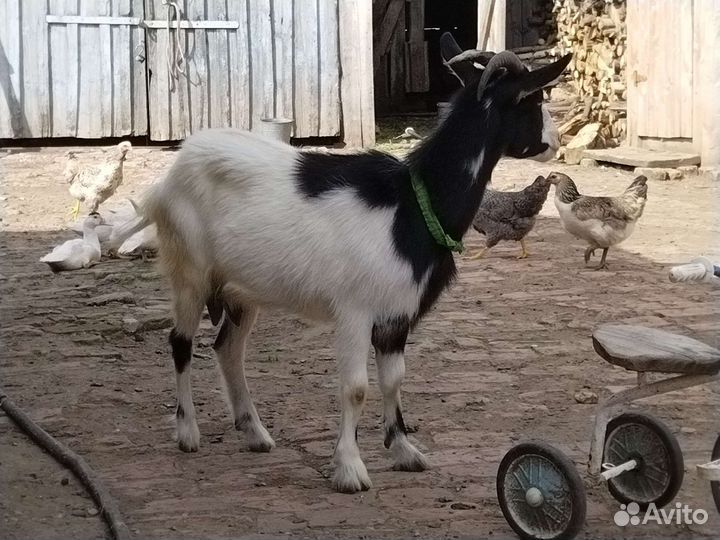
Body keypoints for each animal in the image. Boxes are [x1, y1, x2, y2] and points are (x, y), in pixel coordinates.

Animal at [112, 33, 571, 493]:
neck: (410, 205)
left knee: (228, 349)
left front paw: (403, 451)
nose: (556, 142)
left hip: (241, 289)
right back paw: (188, 432)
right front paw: (350, 469)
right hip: (189, 269)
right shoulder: (355, 310)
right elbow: (355, 388)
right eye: (532, 98)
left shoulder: (397, 315)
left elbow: (394, 379)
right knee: (180, 343)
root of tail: (170, 176)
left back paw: (255, 432)